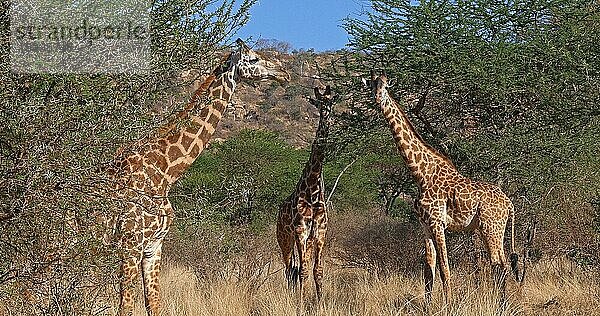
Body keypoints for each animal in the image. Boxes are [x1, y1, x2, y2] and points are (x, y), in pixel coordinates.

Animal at [106, 40, 290, 316]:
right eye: (254, 59)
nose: (284, 74)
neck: (165, 172)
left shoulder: (153, 246)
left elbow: (154, 303)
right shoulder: (131, 242)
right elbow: (125, 306)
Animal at [366, 71, 520, 304]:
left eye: (385, 87)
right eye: (372, 86)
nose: (377, 100)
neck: (421, 174)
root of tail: (509, 203)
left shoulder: (439, 223)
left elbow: (444, 269)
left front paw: (449, 305)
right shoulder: (425, 225)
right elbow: (428, 270)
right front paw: (428, 306)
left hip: (491, 227)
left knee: (499, 264)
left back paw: (502, 305)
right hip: (492, 229)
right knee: (500, 263)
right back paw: (502, 303)